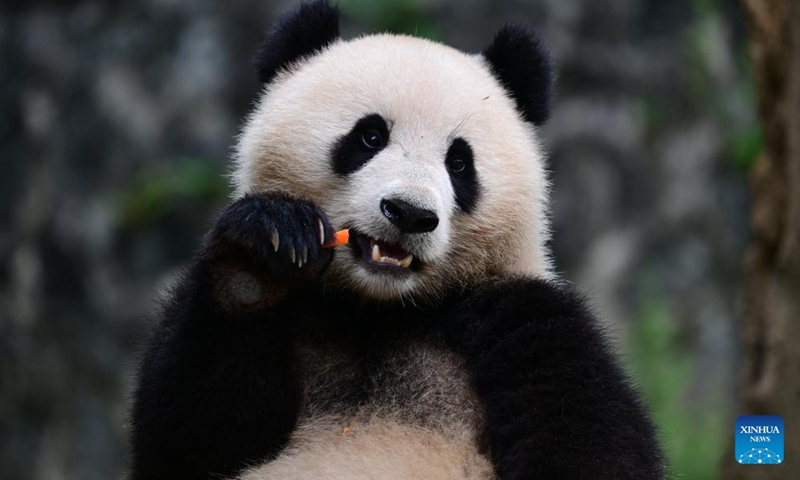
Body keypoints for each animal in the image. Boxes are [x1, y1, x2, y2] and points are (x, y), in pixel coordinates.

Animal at [130, 1, 664, 478]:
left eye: (459, 162)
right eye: (369, 137)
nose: (409, 213)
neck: (381, 309)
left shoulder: (525, 317)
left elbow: (593, 443)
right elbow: (192, 438)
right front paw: (261, 258)